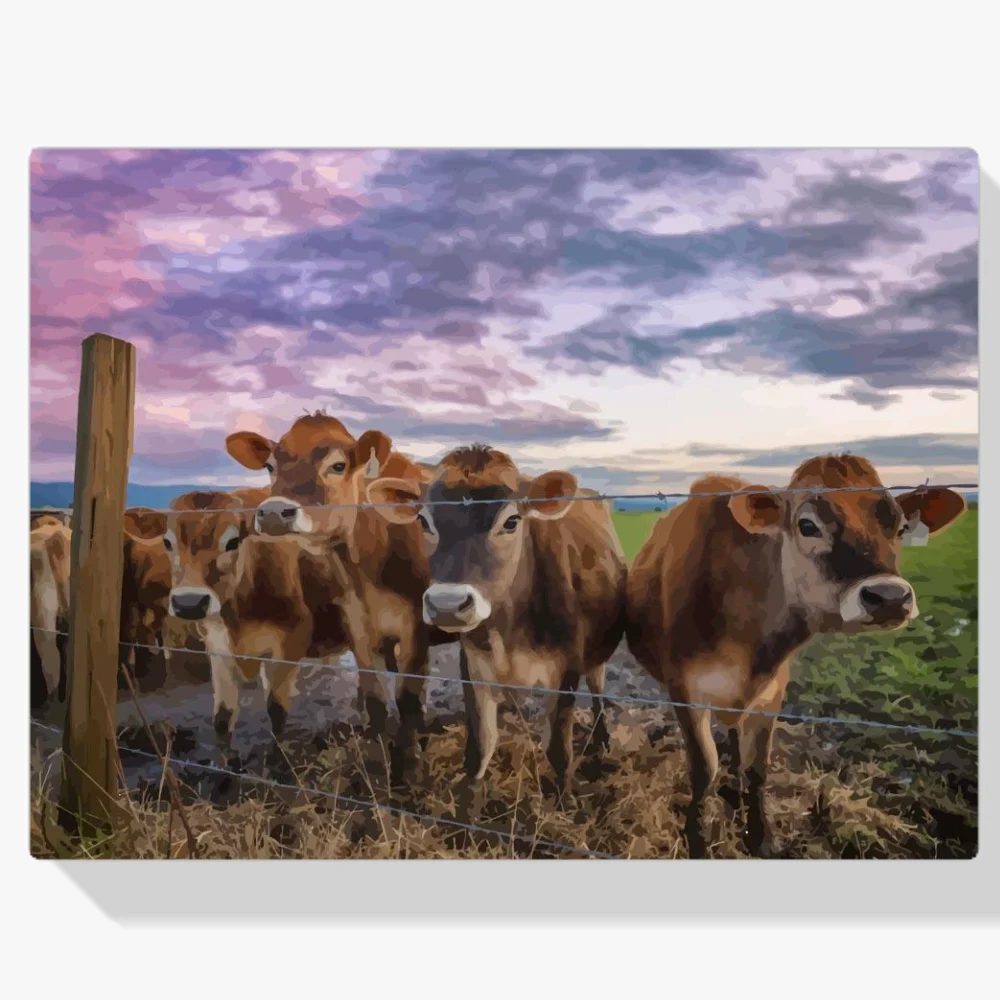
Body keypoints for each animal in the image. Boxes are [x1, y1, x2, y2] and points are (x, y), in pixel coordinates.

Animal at [224, 413, 448, 781]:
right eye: (270, 465)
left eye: (338, 465)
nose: (273, 513)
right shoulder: (357, 623)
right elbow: (375, 702)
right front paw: (378, 767)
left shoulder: (415, 626)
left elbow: (408, 701)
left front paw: (407, 774)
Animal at [366, 444, 628, 807]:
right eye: (424, 521)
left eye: (512, 520)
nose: (447, 604)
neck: (509, 628)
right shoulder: (474, 665)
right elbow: (481, 746)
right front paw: (469, 808)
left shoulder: (566, 670)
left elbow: (559, 750)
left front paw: (564, 804)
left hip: (597, 651)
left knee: (598, 687)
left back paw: (602, 739)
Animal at [625, 454, 968, 858]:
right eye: (807, 525)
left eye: (900, 528)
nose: (890, 597)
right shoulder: (686, 692)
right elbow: (703, 769)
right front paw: (698, 841)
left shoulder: (772, 692)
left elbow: (758, 768)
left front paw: (759, 835)